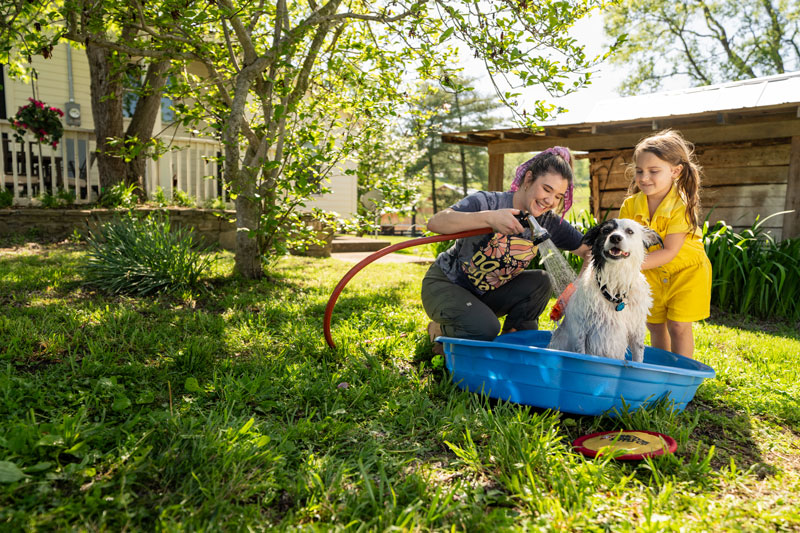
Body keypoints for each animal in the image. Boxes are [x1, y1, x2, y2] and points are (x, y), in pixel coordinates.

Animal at [552, 217, 664, 362]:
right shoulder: (580, 332)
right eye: (605, 230)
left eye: (629, 231)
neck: (614, 288)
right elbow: (581, 353)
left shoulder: (637, 331)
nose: (615, 237)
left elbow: (638, 358)